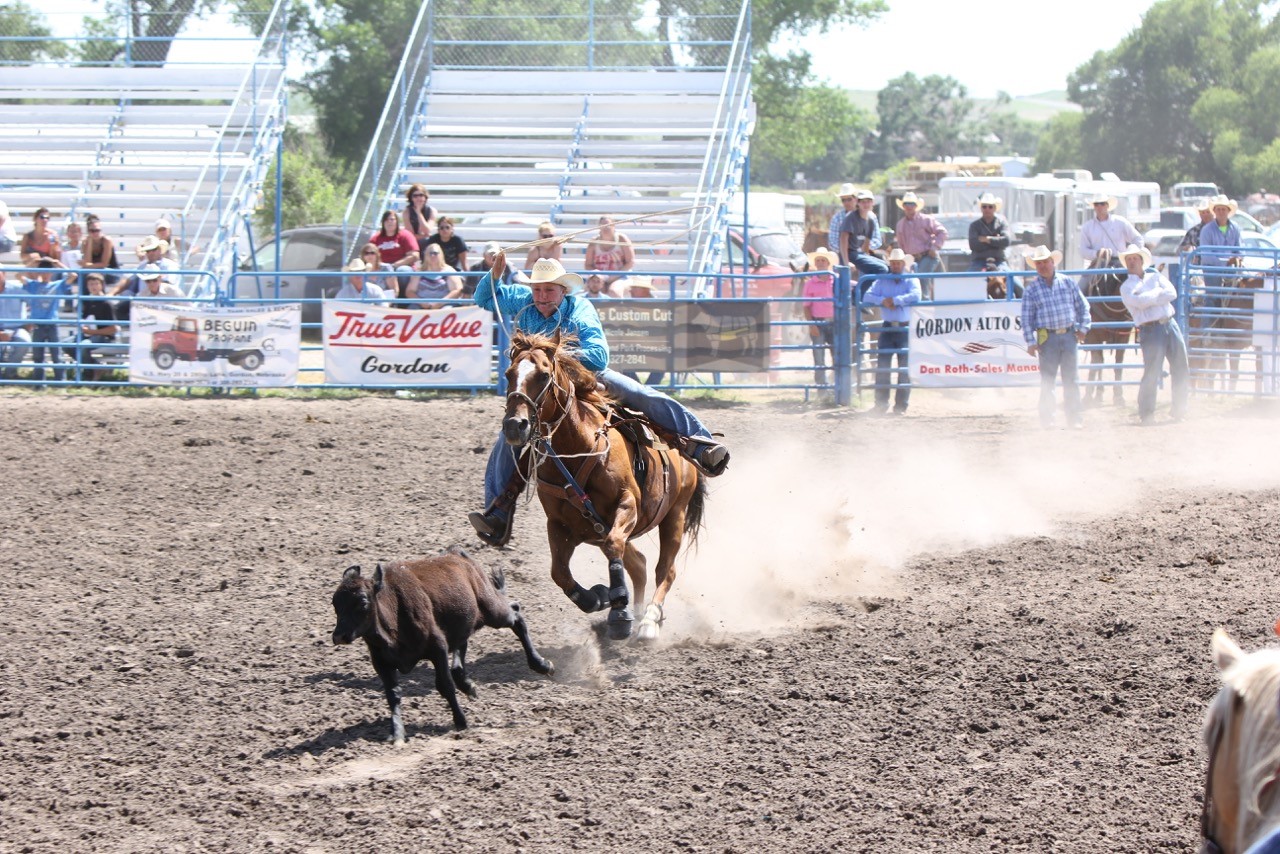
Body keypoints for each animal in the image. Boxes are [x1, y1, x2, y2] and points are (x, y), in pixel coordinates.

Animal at [501, 330, 706, 645]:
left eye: (544, 375)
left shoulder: (627, 504)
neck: (577, 449)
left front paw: (619, 613)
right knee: (639, 565)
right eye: (509, 374)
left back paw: (649, 620)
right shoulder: (560, 524)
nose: (514, 425)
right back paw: (636, 612)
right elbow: (559, 573)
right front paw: (599, 598)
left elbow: (613, 547)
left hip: (675, 515)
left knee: (665, 570)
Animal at [1080, 248, 1131, 407]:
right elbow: (1097, 363)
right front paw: (1089, 396)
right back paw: (1096, 392)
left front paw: (1119, 395)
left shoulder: (1123, 336)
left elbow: (1118, 362)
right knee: (1097, 361)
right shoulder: (1093, 337)